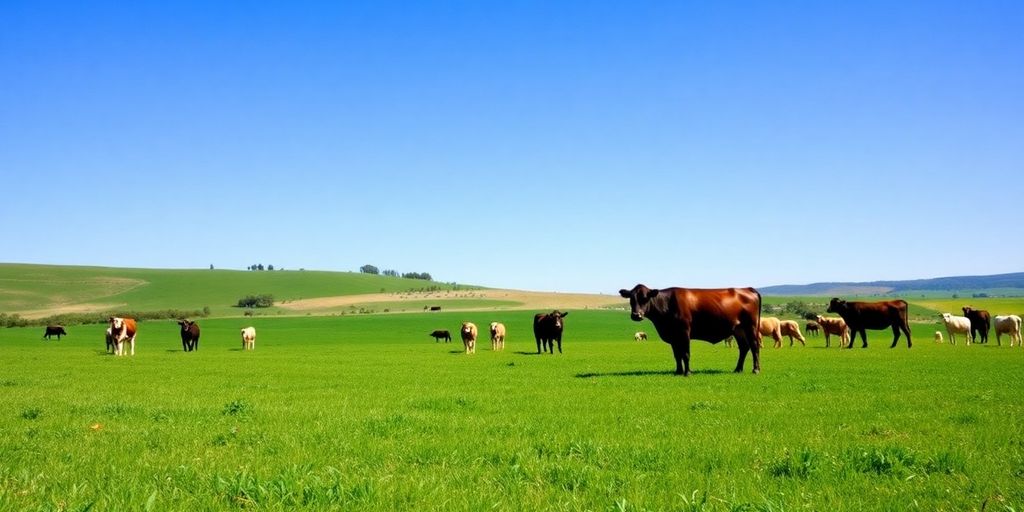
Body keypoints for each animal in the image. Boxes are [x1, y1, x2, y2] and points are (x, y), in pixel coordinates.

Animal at [619, 284, 761, 375]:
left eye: (645, 298)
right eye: (631, 299)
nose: (636, 315)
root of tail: (747, 289)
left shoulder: (684, 332)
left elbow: (686, 353)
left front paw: (687, 372)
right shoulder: (673, 336)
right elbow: (677, 355)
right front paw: (678, 371)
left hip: (751, 326)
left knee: (754, 346)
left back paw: (756, 369)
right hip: (738, 329)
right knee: (744, 347)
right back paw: (738, 369)